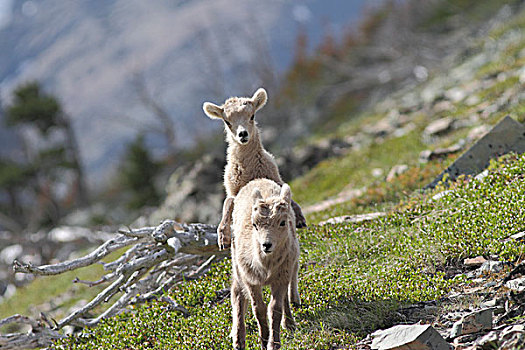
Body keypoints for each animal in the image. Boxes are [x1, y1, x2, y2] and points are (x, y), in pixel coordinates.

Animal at [202, 87, 308, 252]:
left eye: (252, 116)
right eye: (227, 121)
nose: (243, 134)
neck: (250, 171)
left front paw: (299, 219)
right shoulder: (232, 191)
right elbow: (228, 204)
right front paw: (223, 239)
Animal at [229, 179, 298, 350]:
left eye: (282, 222)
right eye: (255, 224)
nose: (266, 245)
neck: (266, 267)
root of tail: (258, 180)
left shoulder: (280, 278)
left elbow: (275, 309)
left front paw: (273, 344)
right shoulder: (250, 281)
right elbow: (258, 309)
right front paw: (264, 340)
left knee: (284, 300)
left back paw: (290, 324)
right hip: (238, 269)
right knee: (237, 295)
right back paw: (238, 340)